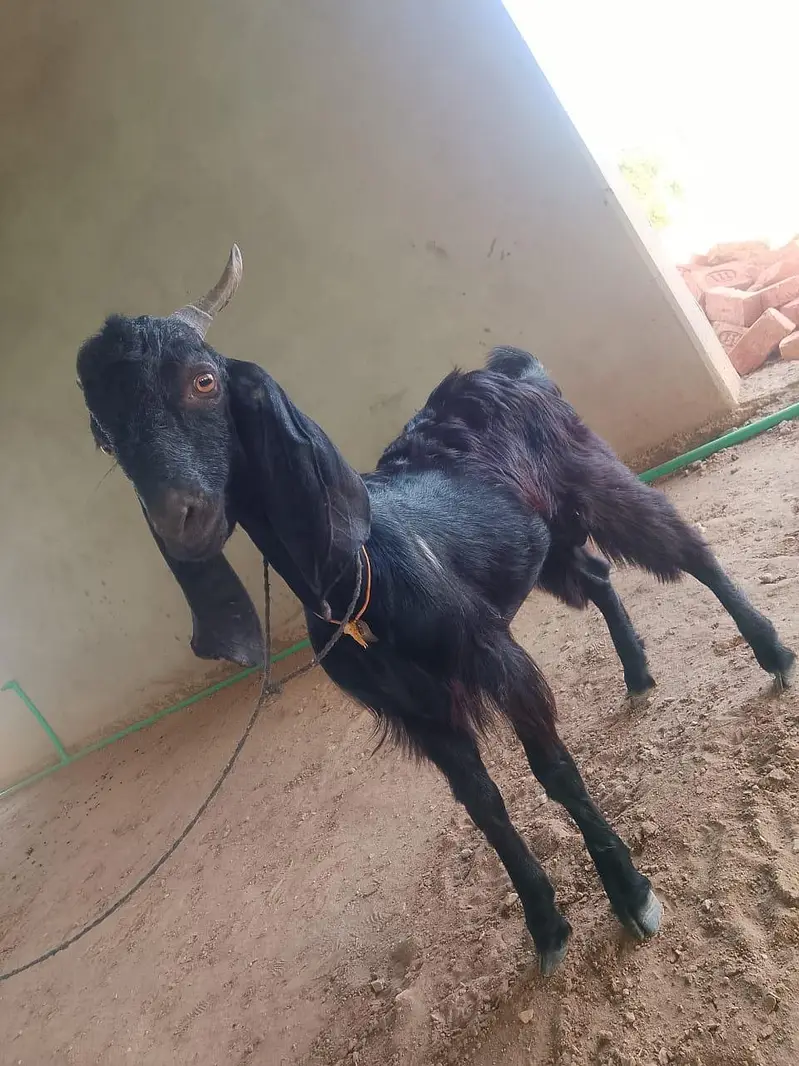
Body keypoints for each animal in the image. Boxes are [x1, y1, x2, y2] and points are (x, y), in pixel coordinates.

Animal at [76, 246, 794, 975]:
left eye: (203, 381)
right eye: (103, 434)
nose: (180, 517)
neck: (357, 578)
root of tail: (505, 368)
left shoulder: (491, 654)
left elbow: (553, 771)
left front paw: (631, 895)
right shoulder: (418, 711)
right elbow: (483, 806)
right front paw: (545, 926)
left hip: (591, 475)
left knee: (683, 547)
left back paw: (770, 651)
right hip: (538, 543)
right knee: (595, 576)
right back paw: (638, 673)